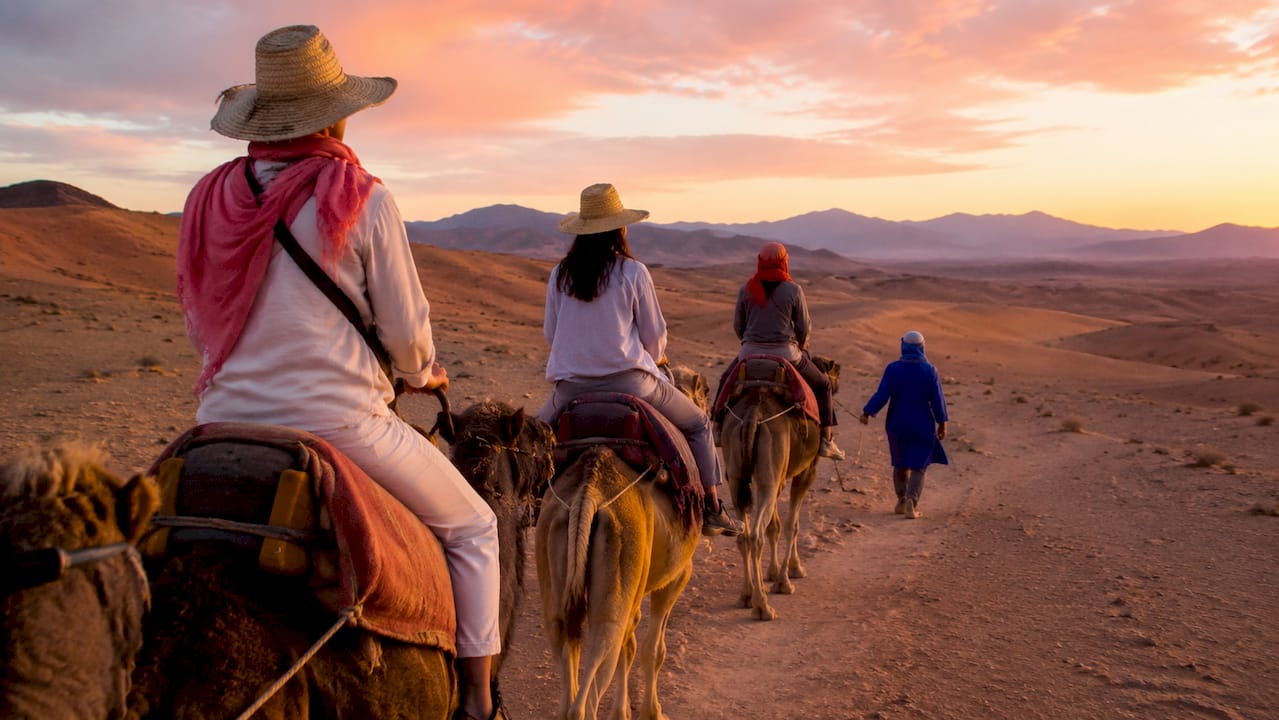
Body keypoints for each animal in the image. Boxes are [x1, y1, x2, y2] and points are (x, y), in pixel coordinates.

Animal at [536, 366, 707, 720]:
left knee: (565, 643)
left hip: (554, 550)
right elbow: (653, 649)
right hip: (619, 561)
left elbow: (632, 644)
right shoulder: (676, 576)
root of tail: (588, 493)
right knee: (601, 656)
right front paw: (652, 711)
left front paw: (623, 711)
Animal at [720, 355, 840, 621]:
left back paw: (746, 595)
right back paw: (763, 606)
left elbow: (774, 525)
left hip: (739, 476)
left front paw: (774, 573)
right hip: (770, 471)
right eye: (833, 376)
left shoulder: (778, 477)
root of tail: (753, 414)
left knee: (744, 533)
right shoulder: (806, 472)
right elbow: (791, 525)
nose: (835, 385)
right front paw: (788, 576)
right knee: (755, 535)